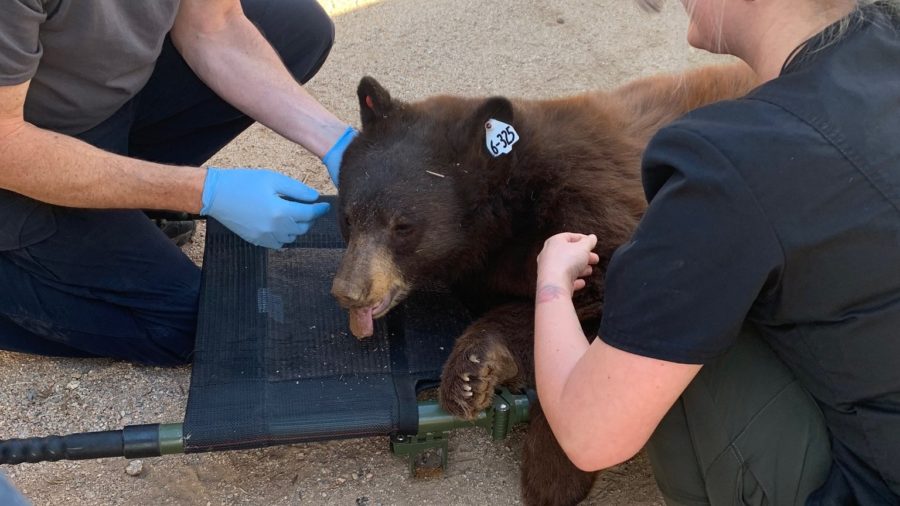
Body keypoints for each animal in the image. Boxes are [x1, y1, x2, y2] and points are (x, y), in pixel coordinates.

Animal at [330, 62, 759, 505]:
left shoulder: (598, 203)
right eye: (348, 217)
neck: (510, 203)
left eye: (402, 226)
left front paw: (550, 472)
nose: (349, 290)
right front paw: (480, 373)